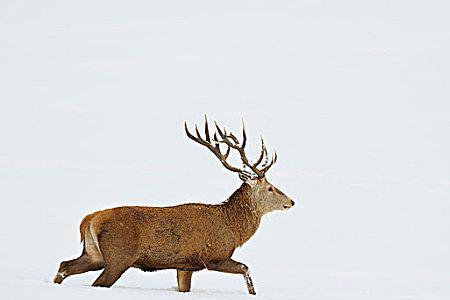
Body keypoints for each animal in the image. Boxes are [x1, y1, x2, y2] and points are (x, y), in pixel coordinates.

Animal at [53, 116, 296, 296]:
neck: (233, 228)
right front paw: (254, 293)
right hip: (118, 256)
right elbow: (246, 269)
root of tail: (90, 219)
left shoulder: (185, 265)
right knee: (96, 282)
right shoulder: (213, 256)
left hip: (94, 254)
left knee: (64, 265)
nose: (291, 201)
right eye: (270, 188)